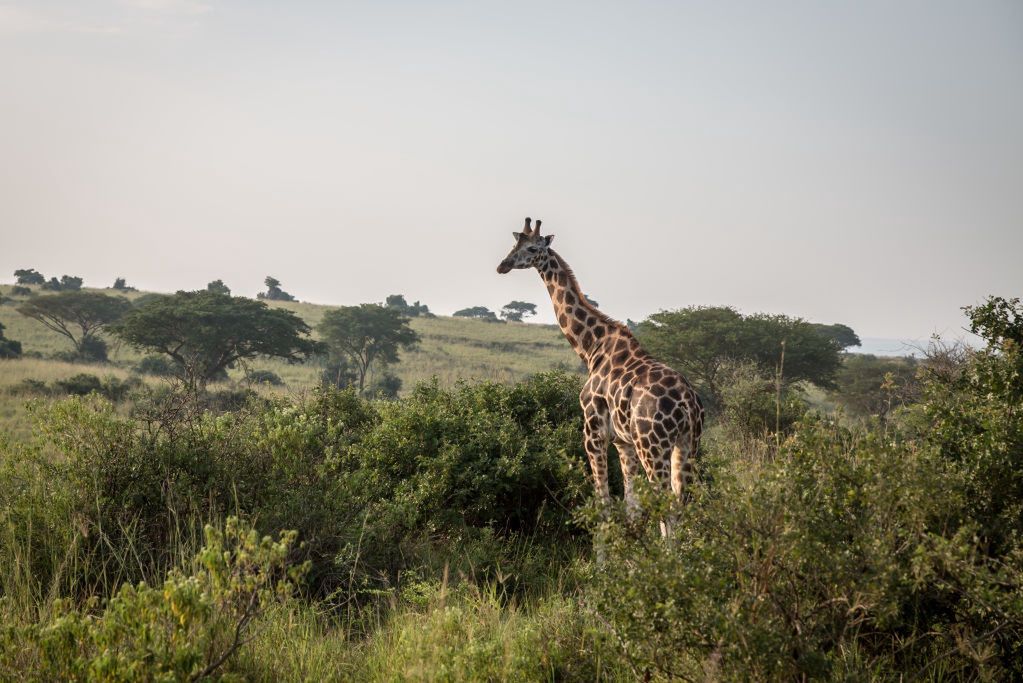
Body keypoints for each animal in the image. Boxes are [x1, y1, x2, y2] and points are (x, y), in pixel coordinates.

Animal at [495, 218, 703, 531]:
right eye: (514, 243)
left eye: (532, 248)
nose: (503, 265)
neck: (591, 347)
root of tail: (688, 405)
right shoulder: (623, 442)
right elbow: (631, 506)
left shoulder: (592, 431)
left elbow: (603, 503)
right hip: (689, 446)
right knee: (682, 504)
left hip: (653, 446)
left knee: (667, 505)